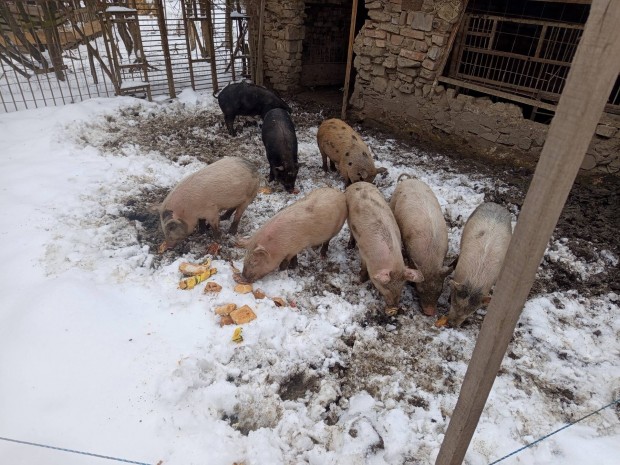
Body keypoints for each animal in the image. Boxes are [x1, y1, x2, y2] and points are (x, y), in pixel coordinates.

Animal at [346, 182, 424, 314]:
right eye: (385, 287)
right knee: (350, 231)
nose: (395, 307)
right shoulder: (363, 252)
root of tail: (358, 183)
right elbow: (363, 268)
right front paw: (359, 280)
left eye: (402, 285)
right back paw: (349, 246)